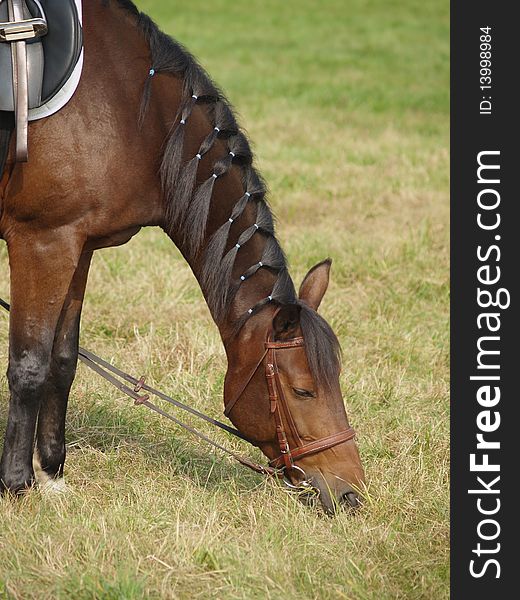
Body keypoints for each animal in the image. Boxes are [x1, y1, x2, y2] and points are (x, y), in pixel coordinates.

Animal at [0, 1, 364, 516]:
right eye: (302, 390)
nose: (352, 492)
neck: (135, 111)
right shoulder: (43, 240)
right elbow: (29, 364)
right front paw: (17, 483)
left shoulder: (78, 244)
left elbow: (62, 359)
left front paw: (52, 473)